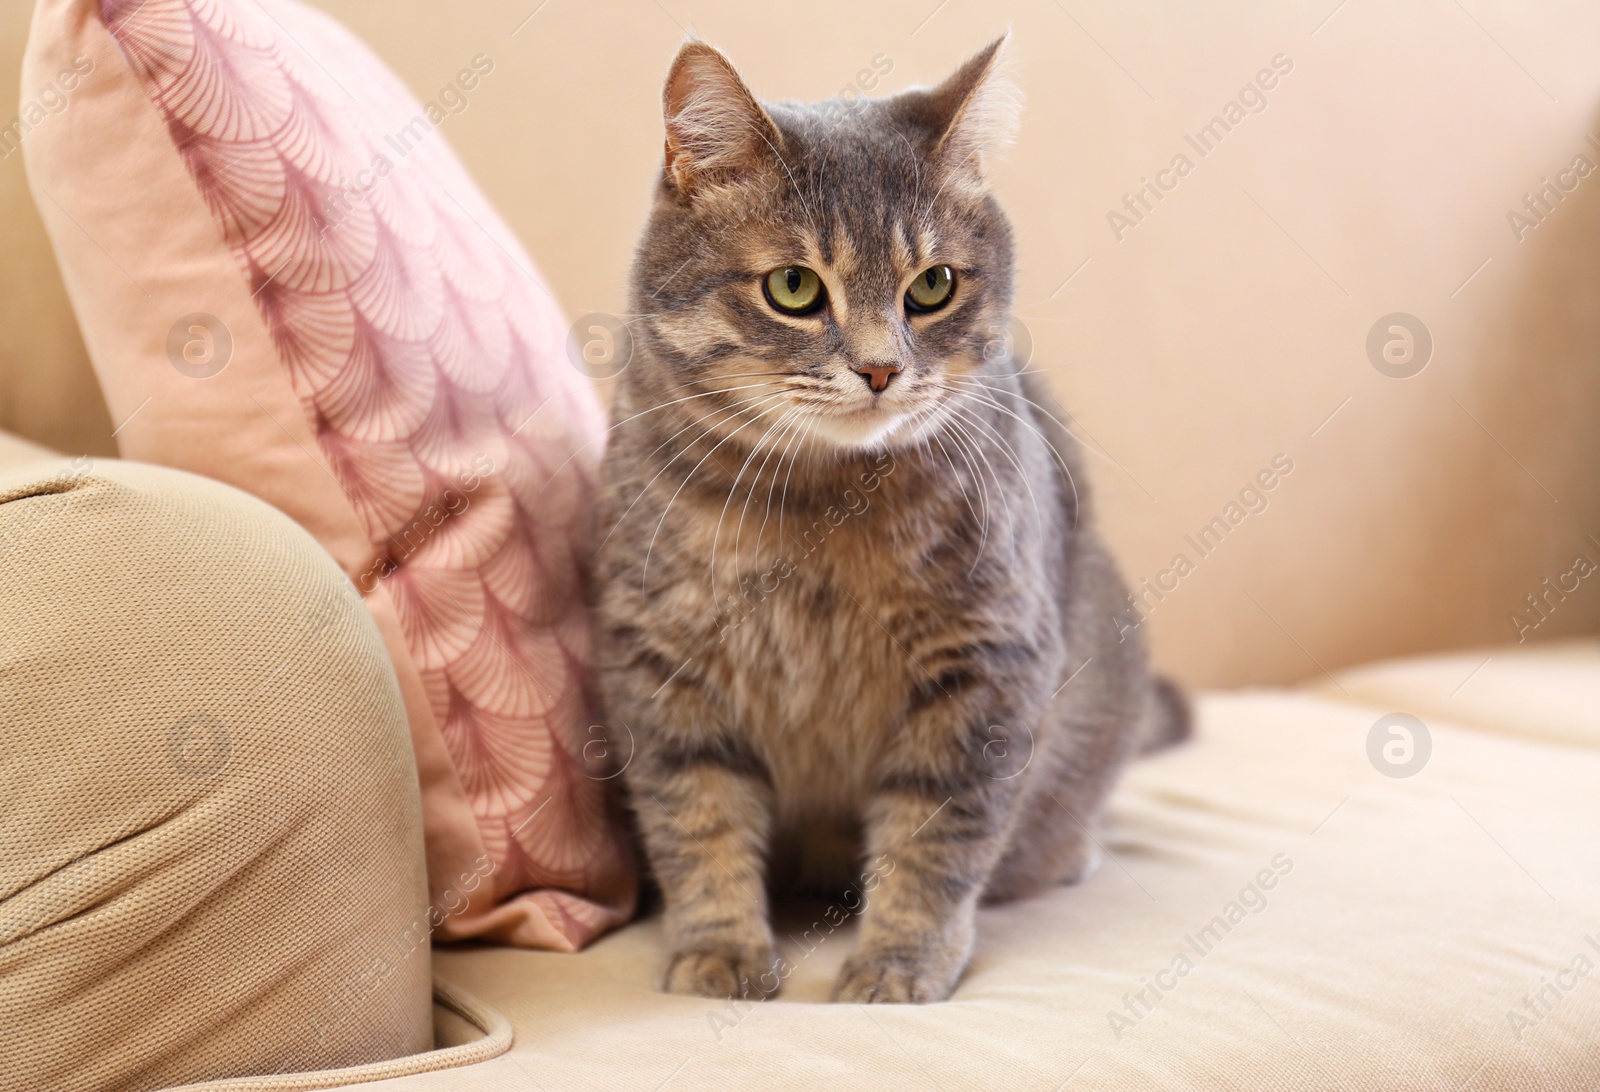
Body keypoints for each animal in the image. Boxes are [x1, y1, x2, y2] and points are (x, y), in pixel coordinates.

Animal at [595, 36, 1184, 1005]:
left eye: (933, 286)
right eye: (795, 287)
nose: (880, 370)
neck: (819, 509)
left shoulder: (984, 674)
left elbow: (933, 843)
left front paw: (899, 964)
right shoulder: (663, 669)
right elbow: (698, 821)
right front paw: (720, 949)